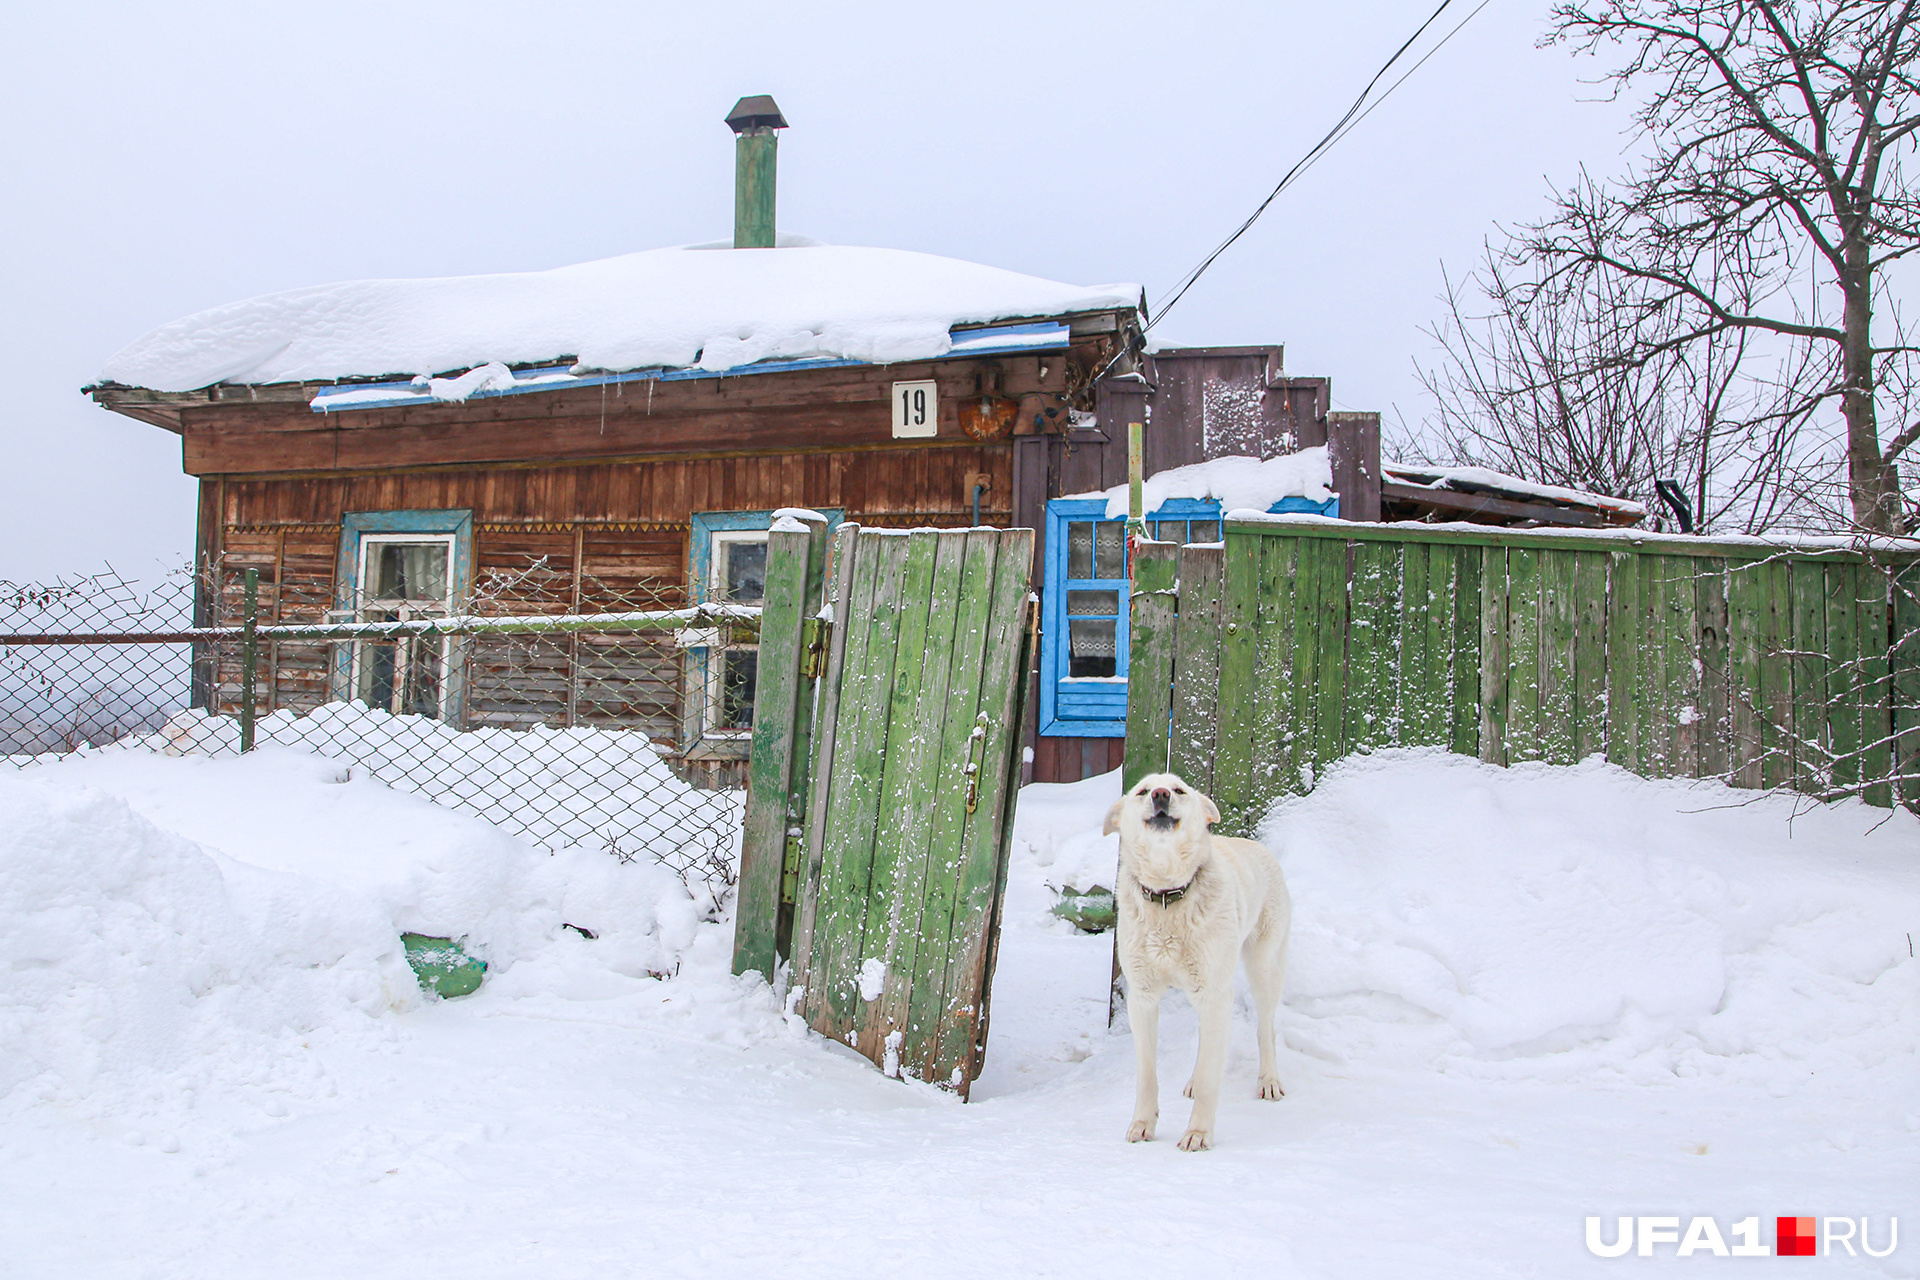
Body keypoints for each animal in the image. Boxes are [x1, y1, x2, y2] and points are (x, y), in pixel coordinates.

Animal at [1113, 771, 1290, 1151]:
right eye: (1142, 791)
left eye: (1179, 790)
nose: (1161, 795)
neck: (1168, 894)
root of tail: (1257, 845)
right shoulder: (1143, 998)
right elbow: (1147, 1074)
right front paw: (1143, 1125)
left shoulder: (1214, 994)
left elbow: (1213, 1077)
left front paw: (1198, 1133)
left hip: (1263, 967)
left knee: (1265, 1028)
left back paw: (1268, 1080)